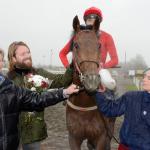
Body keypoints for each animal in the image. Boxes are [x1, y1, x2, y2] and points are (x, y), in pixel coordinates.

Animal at [66, 15, 116, 149]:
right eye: (76, 45)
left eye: (99, 45)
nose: (91, 81)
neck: (84, 105)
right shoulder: (73, 137)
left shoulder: (101, 137)